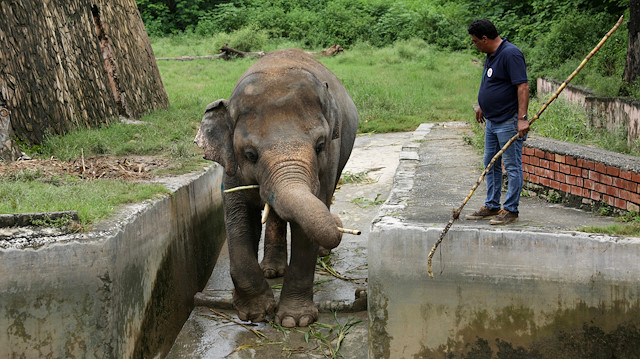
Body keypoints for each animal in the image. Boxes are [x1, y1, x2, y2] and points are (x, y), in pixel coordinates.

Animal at [192, 48, 358, 330]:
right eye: (250, 154)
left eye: (320, 145)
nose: (340, 226)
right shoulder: (230, 166)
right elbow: (238, 217)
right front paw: (255, 312)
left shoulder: (328, 163)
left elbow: (306, 226)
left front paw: (294, 320)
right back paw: (272, 270)